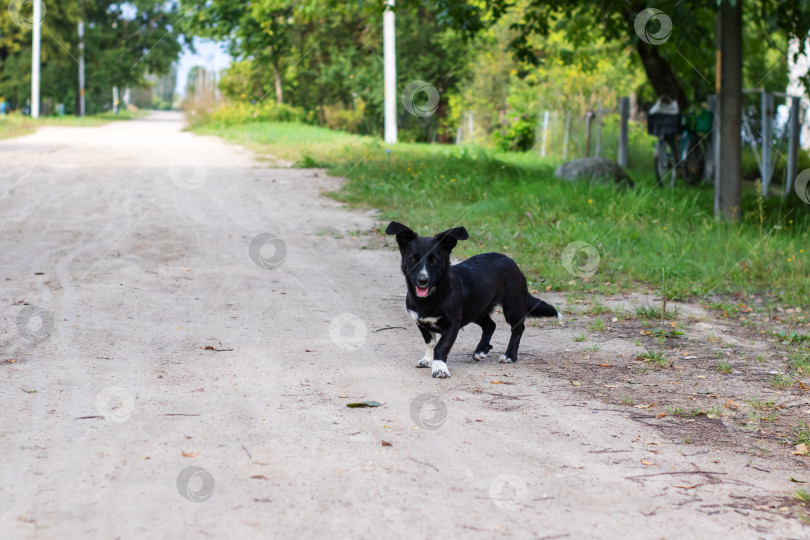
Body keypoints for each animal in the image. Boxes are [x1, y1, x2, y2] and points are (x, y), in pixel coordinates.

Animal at [384, 221, 560, 378]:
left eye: (435, 260)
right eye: (413, 259)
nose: (422, 280)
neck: (430, 298)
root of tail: (511, 261)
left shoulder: (452, 324)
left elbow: (441, 347)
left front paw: (439, 368)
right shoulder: (421, 322)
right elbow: (431, 343)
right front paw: (428, 360)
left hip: (512, 307)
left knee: (517, 329)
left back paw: (510, 355)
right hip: (476, 310)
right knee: (490, 325)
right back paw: (481, 350)